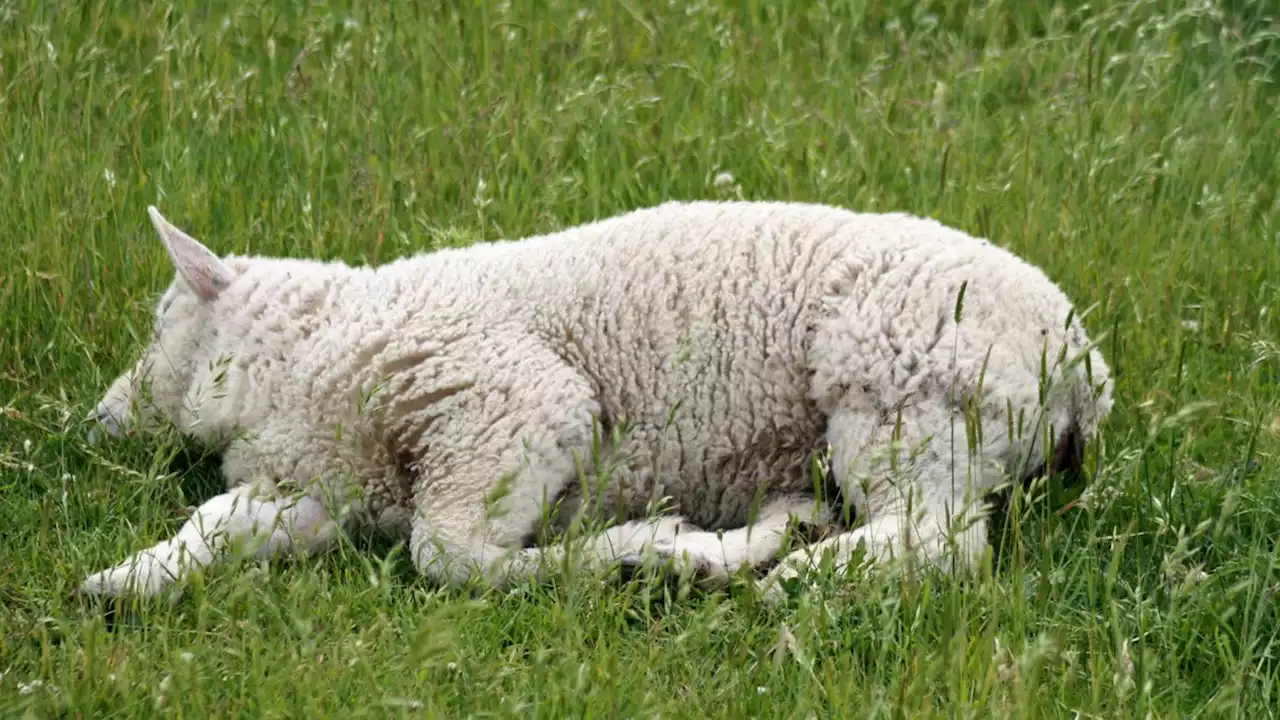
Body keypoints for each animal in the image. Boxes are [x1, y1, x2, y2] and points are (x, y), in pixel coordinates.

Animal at [77, 199, 1111, 599]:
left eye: (160, 318)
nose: (93, 419)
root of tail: (1079, 363)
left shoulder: (511, 403)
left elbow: (448, 557)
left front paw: (648, 552)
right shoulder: (329, 487)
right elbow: (223, 522)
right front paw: (125, 582)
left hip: (901, 385)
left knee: (941, 537)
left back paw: (795, 571)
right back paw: (790, 528)